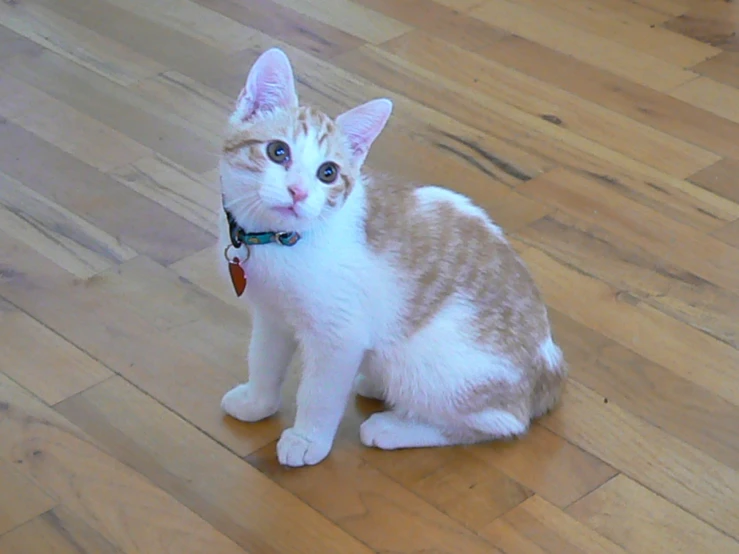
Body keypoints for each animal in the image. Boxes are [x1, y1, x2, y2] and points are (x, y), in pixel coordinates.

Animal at [217, 47, 568, 464]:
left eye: (328, 173)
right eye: (277, 151)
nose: (298, 192)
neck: (280, 240)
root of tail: (549, 371)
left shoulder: (340, 335)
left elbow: (319, 394)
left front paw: (307, 439)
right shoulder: (272, 316)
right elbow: (263, 359)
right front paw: (257, 402)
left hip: (432, 363)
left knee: (500, 422)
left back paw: (396, 427)